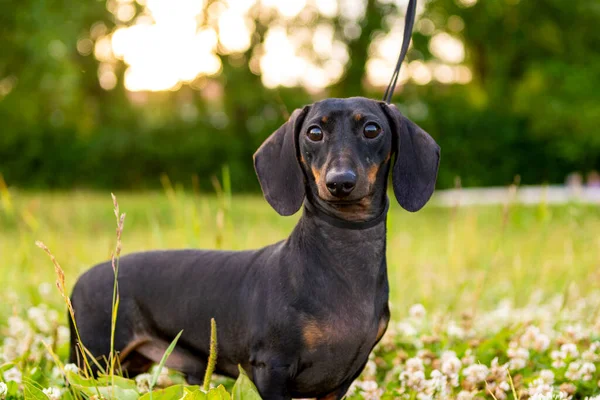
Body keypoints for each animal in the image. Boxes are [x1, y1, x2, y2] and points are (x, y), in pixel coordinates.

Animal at [70, 97, 438, 400]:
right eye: (314, 132)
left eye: (372, 129)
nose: (340, 182)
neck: (342, 257)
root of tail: (83, 278)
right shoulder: (271, 369)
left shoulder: (341, 381)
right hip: (93, 363)